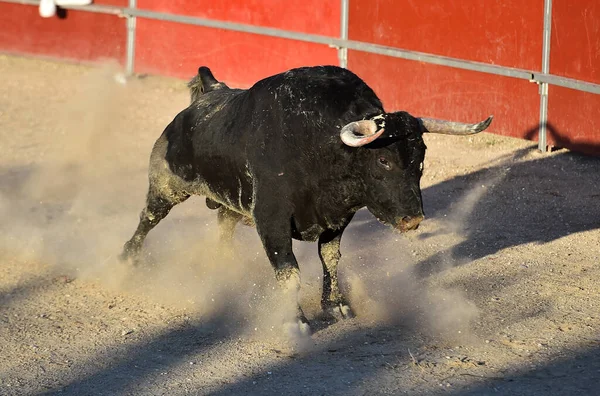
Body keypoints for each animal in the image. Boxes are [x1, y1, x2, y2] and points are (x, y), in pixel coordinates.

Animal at [118, 65, 492, 328]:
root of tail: (208, 94)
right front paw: (295, 322)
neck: (318, 143)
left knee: (223, 223)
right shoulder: (271, 220)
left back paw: (221, 266)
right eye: (383, 160)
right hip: (167, 184)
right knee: (148, 218)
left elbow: (330, 259)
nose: (413, 220)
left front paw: (337, 306)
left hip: (233, 202)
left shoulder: (336, 219)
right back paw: (126, 262)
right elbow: (289, 271)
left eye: (422, 157)